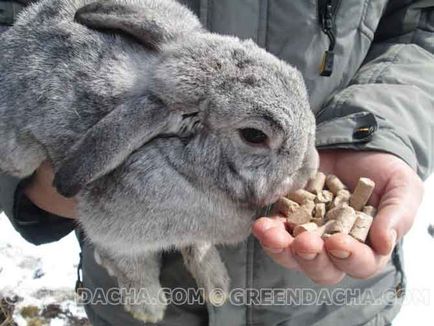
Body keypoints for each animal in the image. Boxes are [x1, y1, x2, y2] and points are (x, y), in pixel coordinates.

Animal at [0, 0, 318, 322]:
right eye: (254, 135)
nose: (309, 168)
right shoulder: (115, 236)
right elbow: (132, 267)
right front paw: (149, 308)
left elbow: (199, 247)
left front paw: (217, 287)